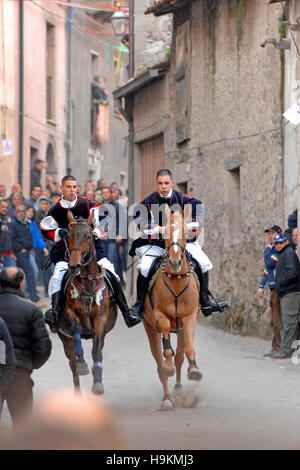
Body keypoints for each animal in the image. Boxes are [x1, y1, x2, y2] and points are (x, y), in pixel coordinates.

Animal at [57, 211, 117, 394]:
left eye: (89, 236)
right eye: (68, 235)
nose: (74, 266)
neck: (88, 283)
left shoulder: (100, 319)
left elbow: (97, 351)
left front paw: (97, 382)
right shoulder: (71, 314)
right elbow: (77, 330)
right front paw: (83, 364)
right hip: (65, 339)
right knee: (72, 365)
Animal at [142, 204, 202, 410]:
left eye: (185, 231)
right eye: (166, 231)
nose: (175, 262)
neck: (176, 280)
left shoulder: (189, 318)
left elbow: (189, 350)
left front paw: (194, 370)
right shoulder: (159, 316)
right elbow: (167, 344)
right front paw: (167, 364)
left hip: (181, 331)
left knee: (179, 358)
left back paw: (178, 389)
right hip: (150, 330)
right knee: (160, 363)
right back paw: (167, 397)